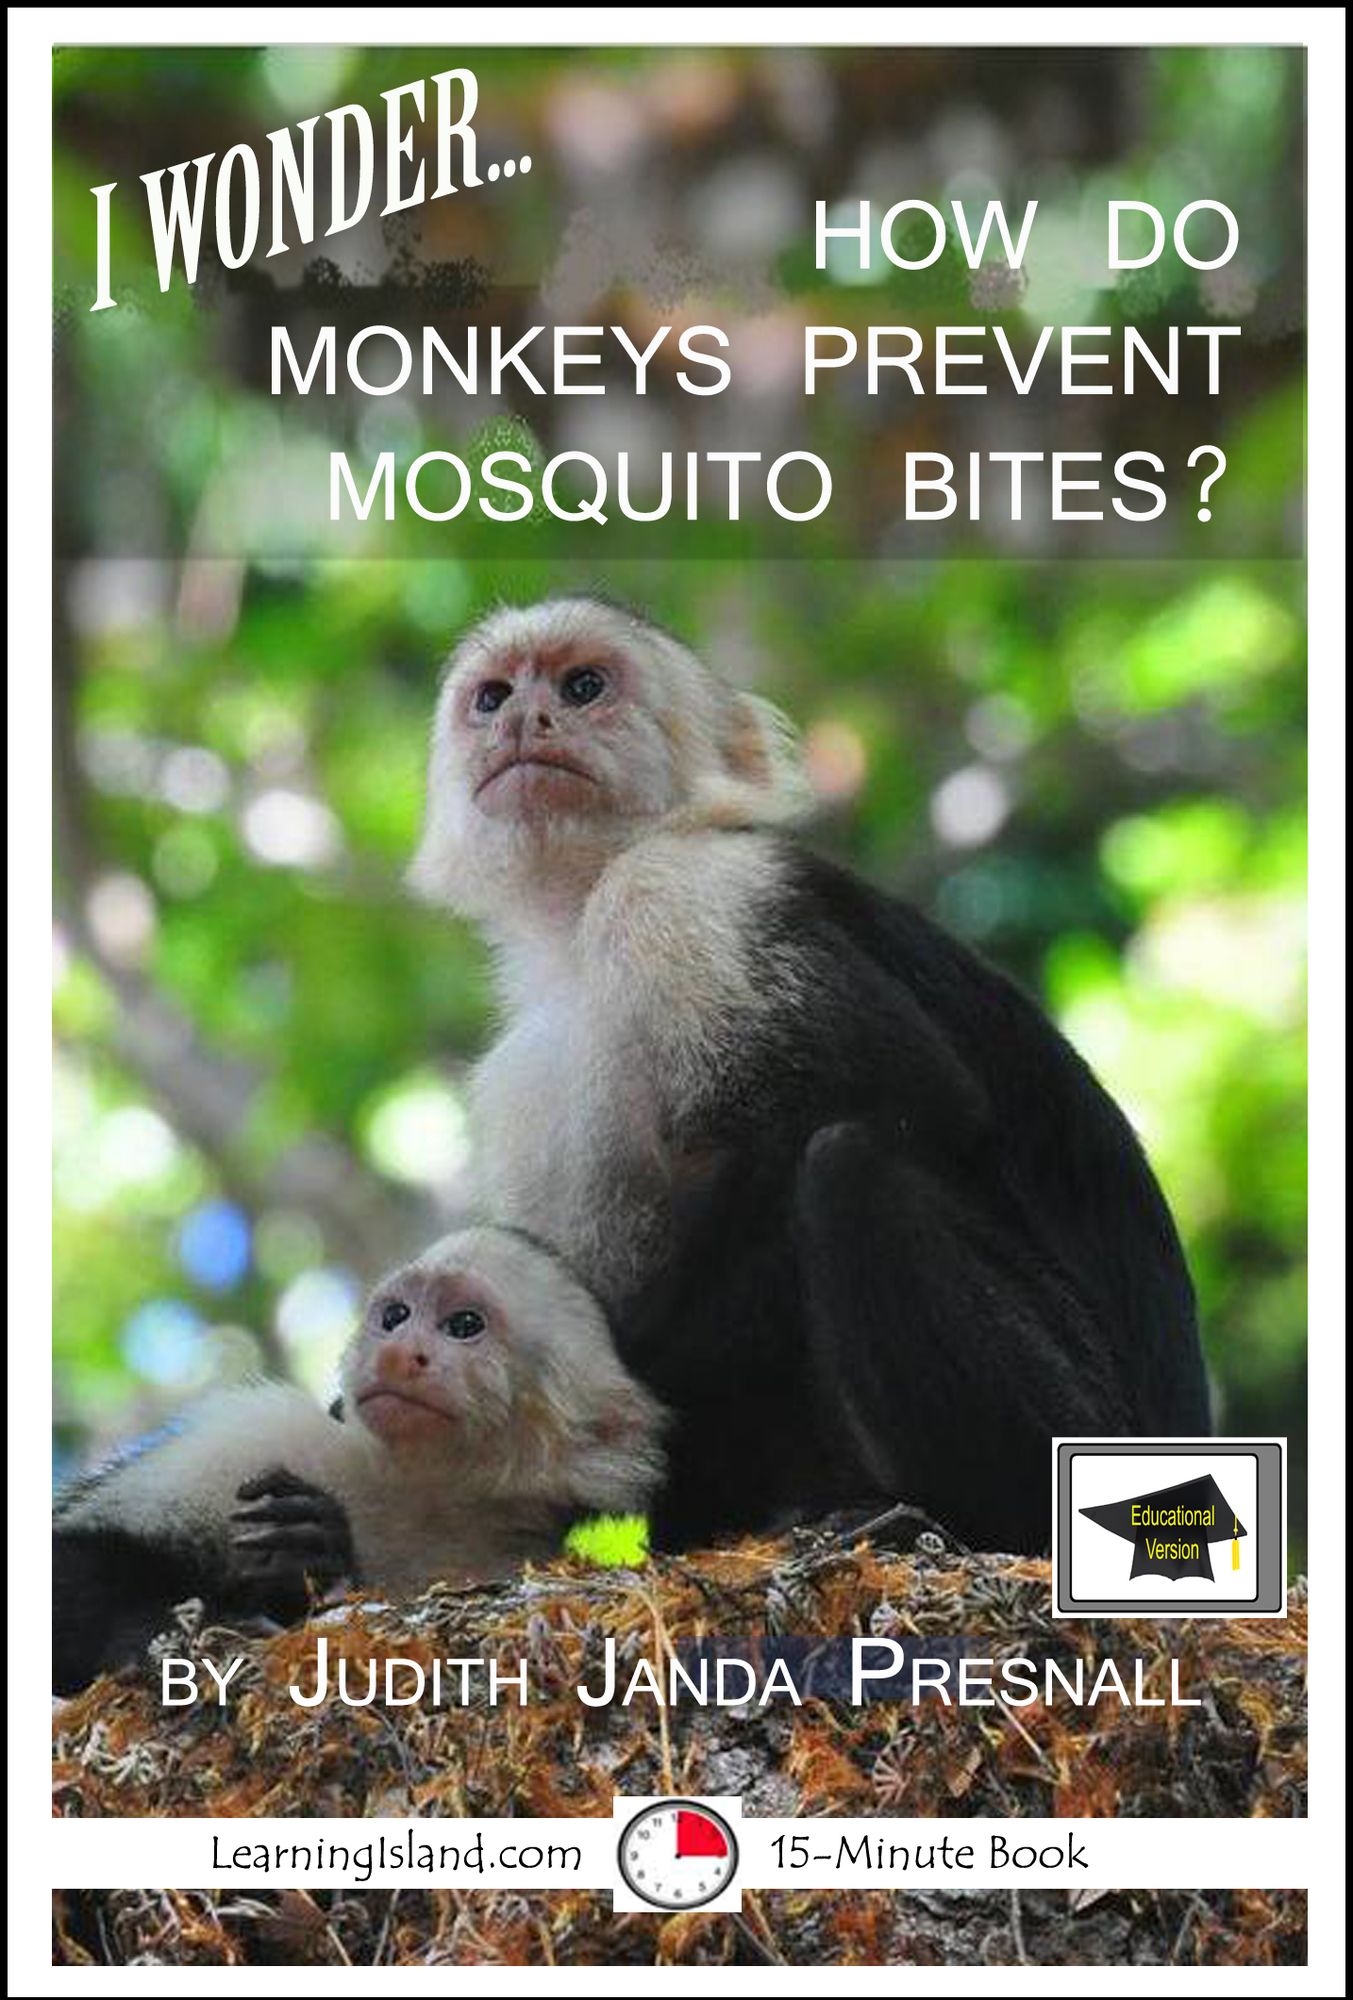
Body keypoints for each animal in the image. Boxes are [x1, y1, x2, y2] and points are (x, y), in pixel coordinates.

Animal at [52, 1225, 664, 1695]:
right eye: (395, 1316)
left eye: (464, 1325)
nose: (397, 1353)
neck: (423, 1495)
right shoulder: (266, 1433)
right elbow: (75, 1552)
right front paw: (152, 1637)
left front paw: (311, 1554)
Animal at [409, 596, 1211, 1555]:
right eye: (491, 697)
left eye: (583, 686)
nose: (524, 721)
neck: (578, 919)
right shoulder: (522, 1072)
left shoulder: (688, 893)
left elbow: (906, 1100)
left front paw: (631, 1392)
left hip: (1091, 1429)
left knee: (848, 1171)